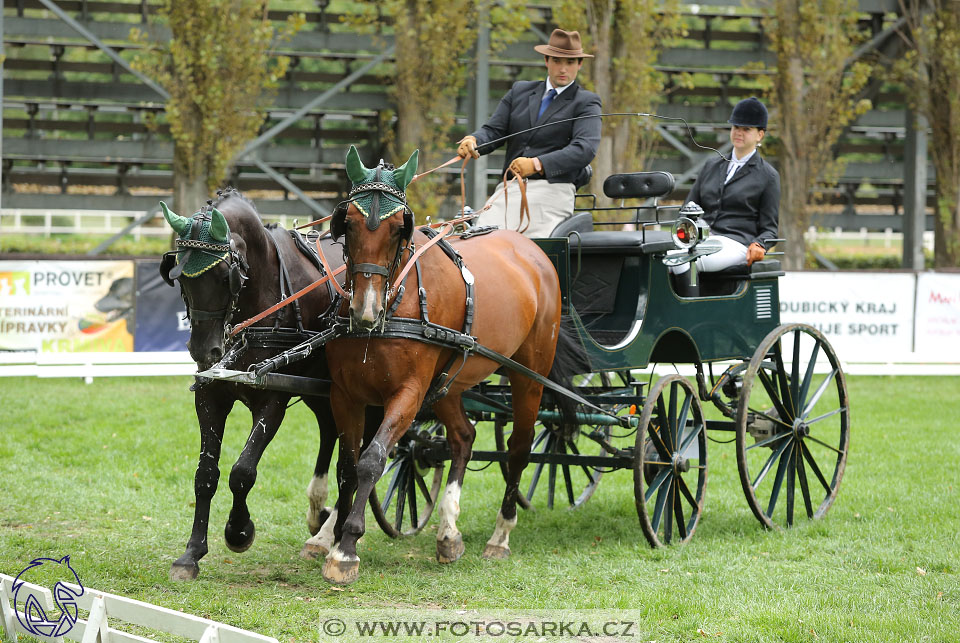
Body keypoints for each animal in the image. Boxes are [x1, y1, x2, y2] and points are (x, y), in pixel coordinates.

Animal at [159, 189, 350, 580]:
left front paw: (238, 531)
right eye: (182, 279)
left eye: (224, 277)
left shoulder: (272, 399)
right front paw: (191, 554)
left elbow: (242, 472)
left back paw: (335, 531)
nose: (204, 350)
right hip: (321, 393)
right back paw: (320, 519)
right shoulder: (210, 394)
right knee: (330, 432)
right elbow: (206, 474)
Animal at [318, 145, 568, 584]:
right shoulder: (344, 394)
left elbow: (371, 460)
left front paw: (346, 548)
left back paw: (501, 534)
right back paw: (449, 530)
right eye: (347, 222)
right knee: (463, 437)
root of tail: (530, 248)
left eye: (399, 227)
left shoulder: (408, 394)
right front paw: (332, 538)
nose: (365, 310)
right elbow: (347, 465)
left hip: (529, 373)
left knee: (519, 448)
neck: (395, 302)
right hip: (451, 380)